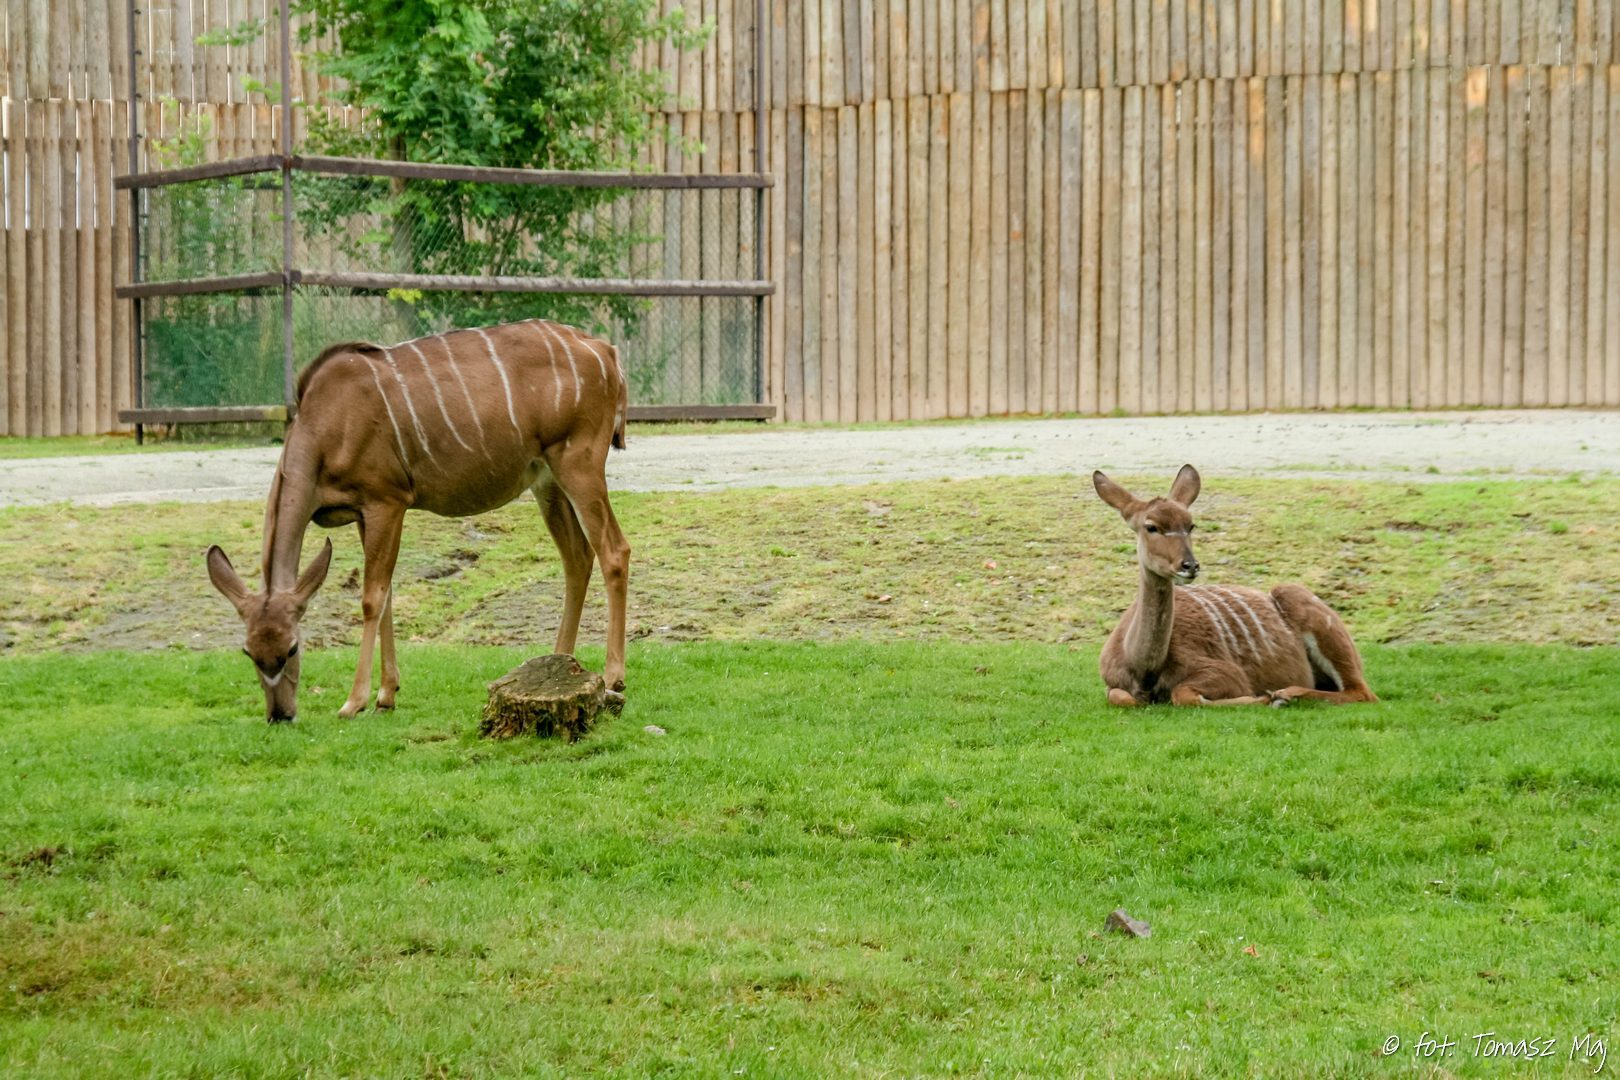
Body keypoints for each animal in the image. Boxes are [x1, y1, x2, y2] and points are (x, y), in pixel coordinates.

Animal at [205, 319, 631, 723]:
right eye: (249, 652)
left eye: (293, 648)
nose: (280, 715)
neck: (325, 422)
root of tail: (606, 352)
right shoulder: (363, 512)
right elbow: (388, 594)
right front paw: (386, 696)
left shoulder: (386, 501)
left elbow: (372, 598)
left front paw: (354, 701)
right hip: (547, 481)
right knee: (577, 558)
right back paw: (557, 663)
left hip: (578, 463)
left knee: (614, 551)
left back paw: (613, 678)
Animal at [1092, 464, 1377, 708]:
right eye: (1151, 527)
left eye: (1190, 525)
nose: (1190, 565)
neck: (1145, 669)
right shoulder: (1113, 685)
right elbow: (1122, 697)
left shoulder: (1226, 673)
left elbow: (1183, 694)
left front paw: (1264, 697)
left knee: (1362, 692)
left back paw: (1284, 695)